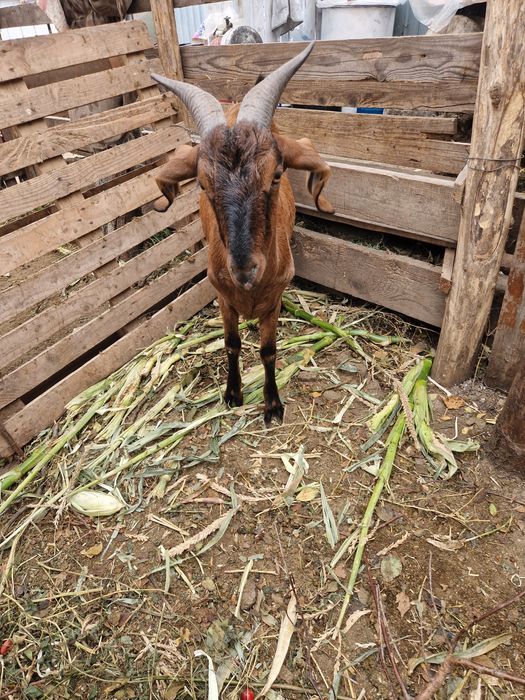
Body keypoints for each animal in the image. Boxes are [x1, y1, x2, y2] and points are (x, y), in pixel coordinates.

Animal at [151, 43, 334, 425]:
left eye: (277, 174)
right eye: (202, 184)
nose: (245, 269)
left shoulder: (273, 300)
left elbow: (268, 350)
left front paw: (273, 405)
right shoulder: (222, 297)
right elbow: (232, 344)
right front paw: (233, 393)